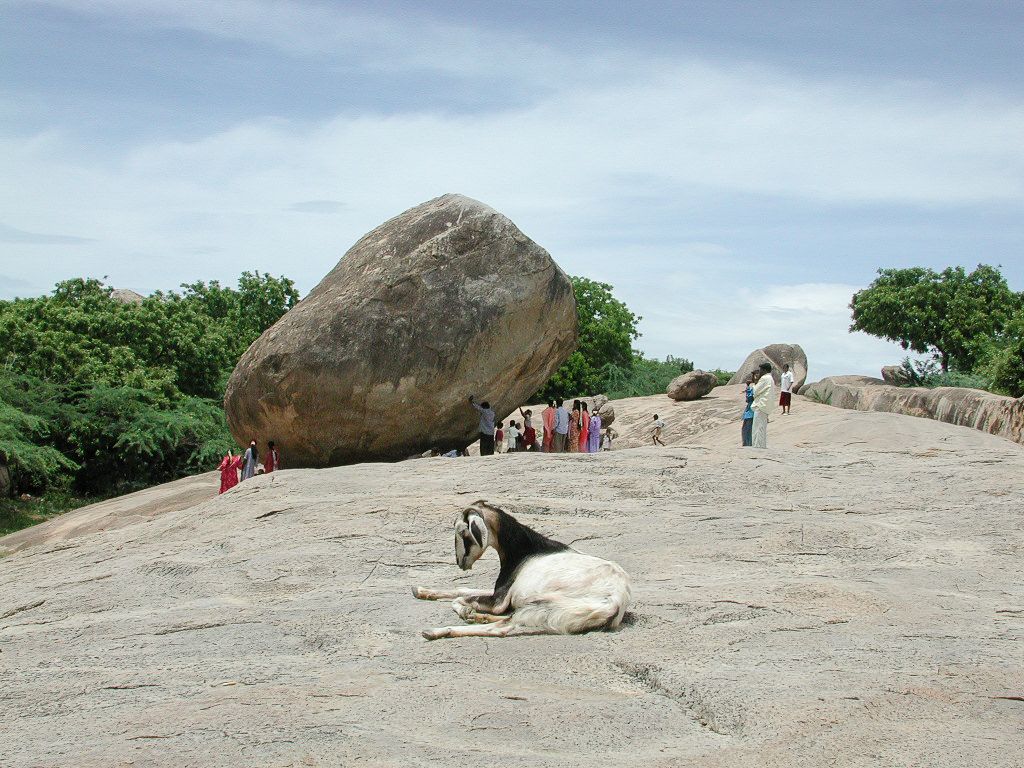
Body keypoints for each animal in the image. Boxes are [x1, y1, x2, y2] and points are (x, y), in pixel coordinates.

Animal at [412, 500, 631, 640]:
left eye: (463, 532)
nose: (460, 562)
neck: (526, 549)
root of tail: (615, 604)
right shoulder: (503, 592)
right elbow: (463, 589)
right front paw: (422, 590)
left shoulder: (498, 600)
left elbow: (460, 599)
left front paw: (466, 611)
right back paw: (479, 617)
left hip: (545, 606)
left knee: (502, 627)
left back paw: (437, 631)